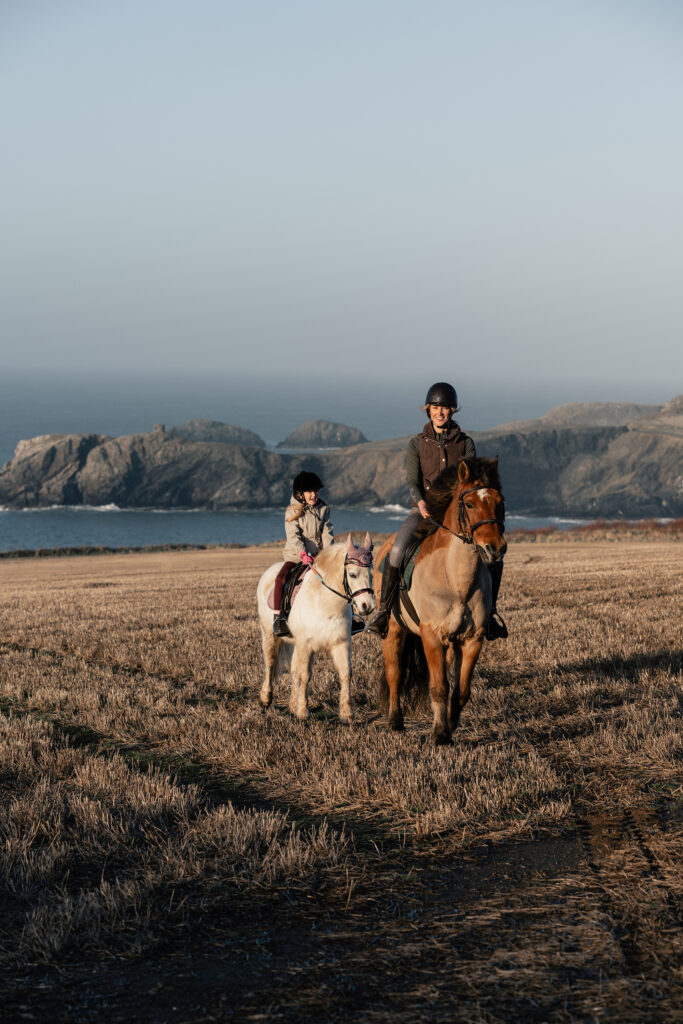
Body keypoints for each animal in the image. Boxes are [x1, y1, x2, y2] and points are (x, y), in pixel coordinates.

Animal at [257, 533, 375, 723]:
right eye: (352, 574)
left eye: (371, 573)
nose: (367, 606)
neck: (325, 602)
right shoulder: (306, 645)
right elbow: (305, 675)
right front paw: (303, 712)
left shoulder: (340, 643)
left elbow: (345, 673)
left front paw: (347, 713)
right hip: (269, 635)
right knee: (270, 663)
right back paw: (266, 698)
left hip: (294, 643)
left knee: (293, 670)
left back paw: (292, 704)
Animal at [375, 457, 506, 746]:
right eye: (469, 504)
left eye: (499, 501)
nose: (495, 548)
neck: (455, 580)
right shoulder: (432, 636)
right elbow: (438, 688)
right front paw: (440, 734)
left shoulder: (471, 640)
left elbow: (460, 690)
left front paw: (451, 724)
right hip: (394, 630)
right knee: (394, 674)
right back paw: (395, 721)